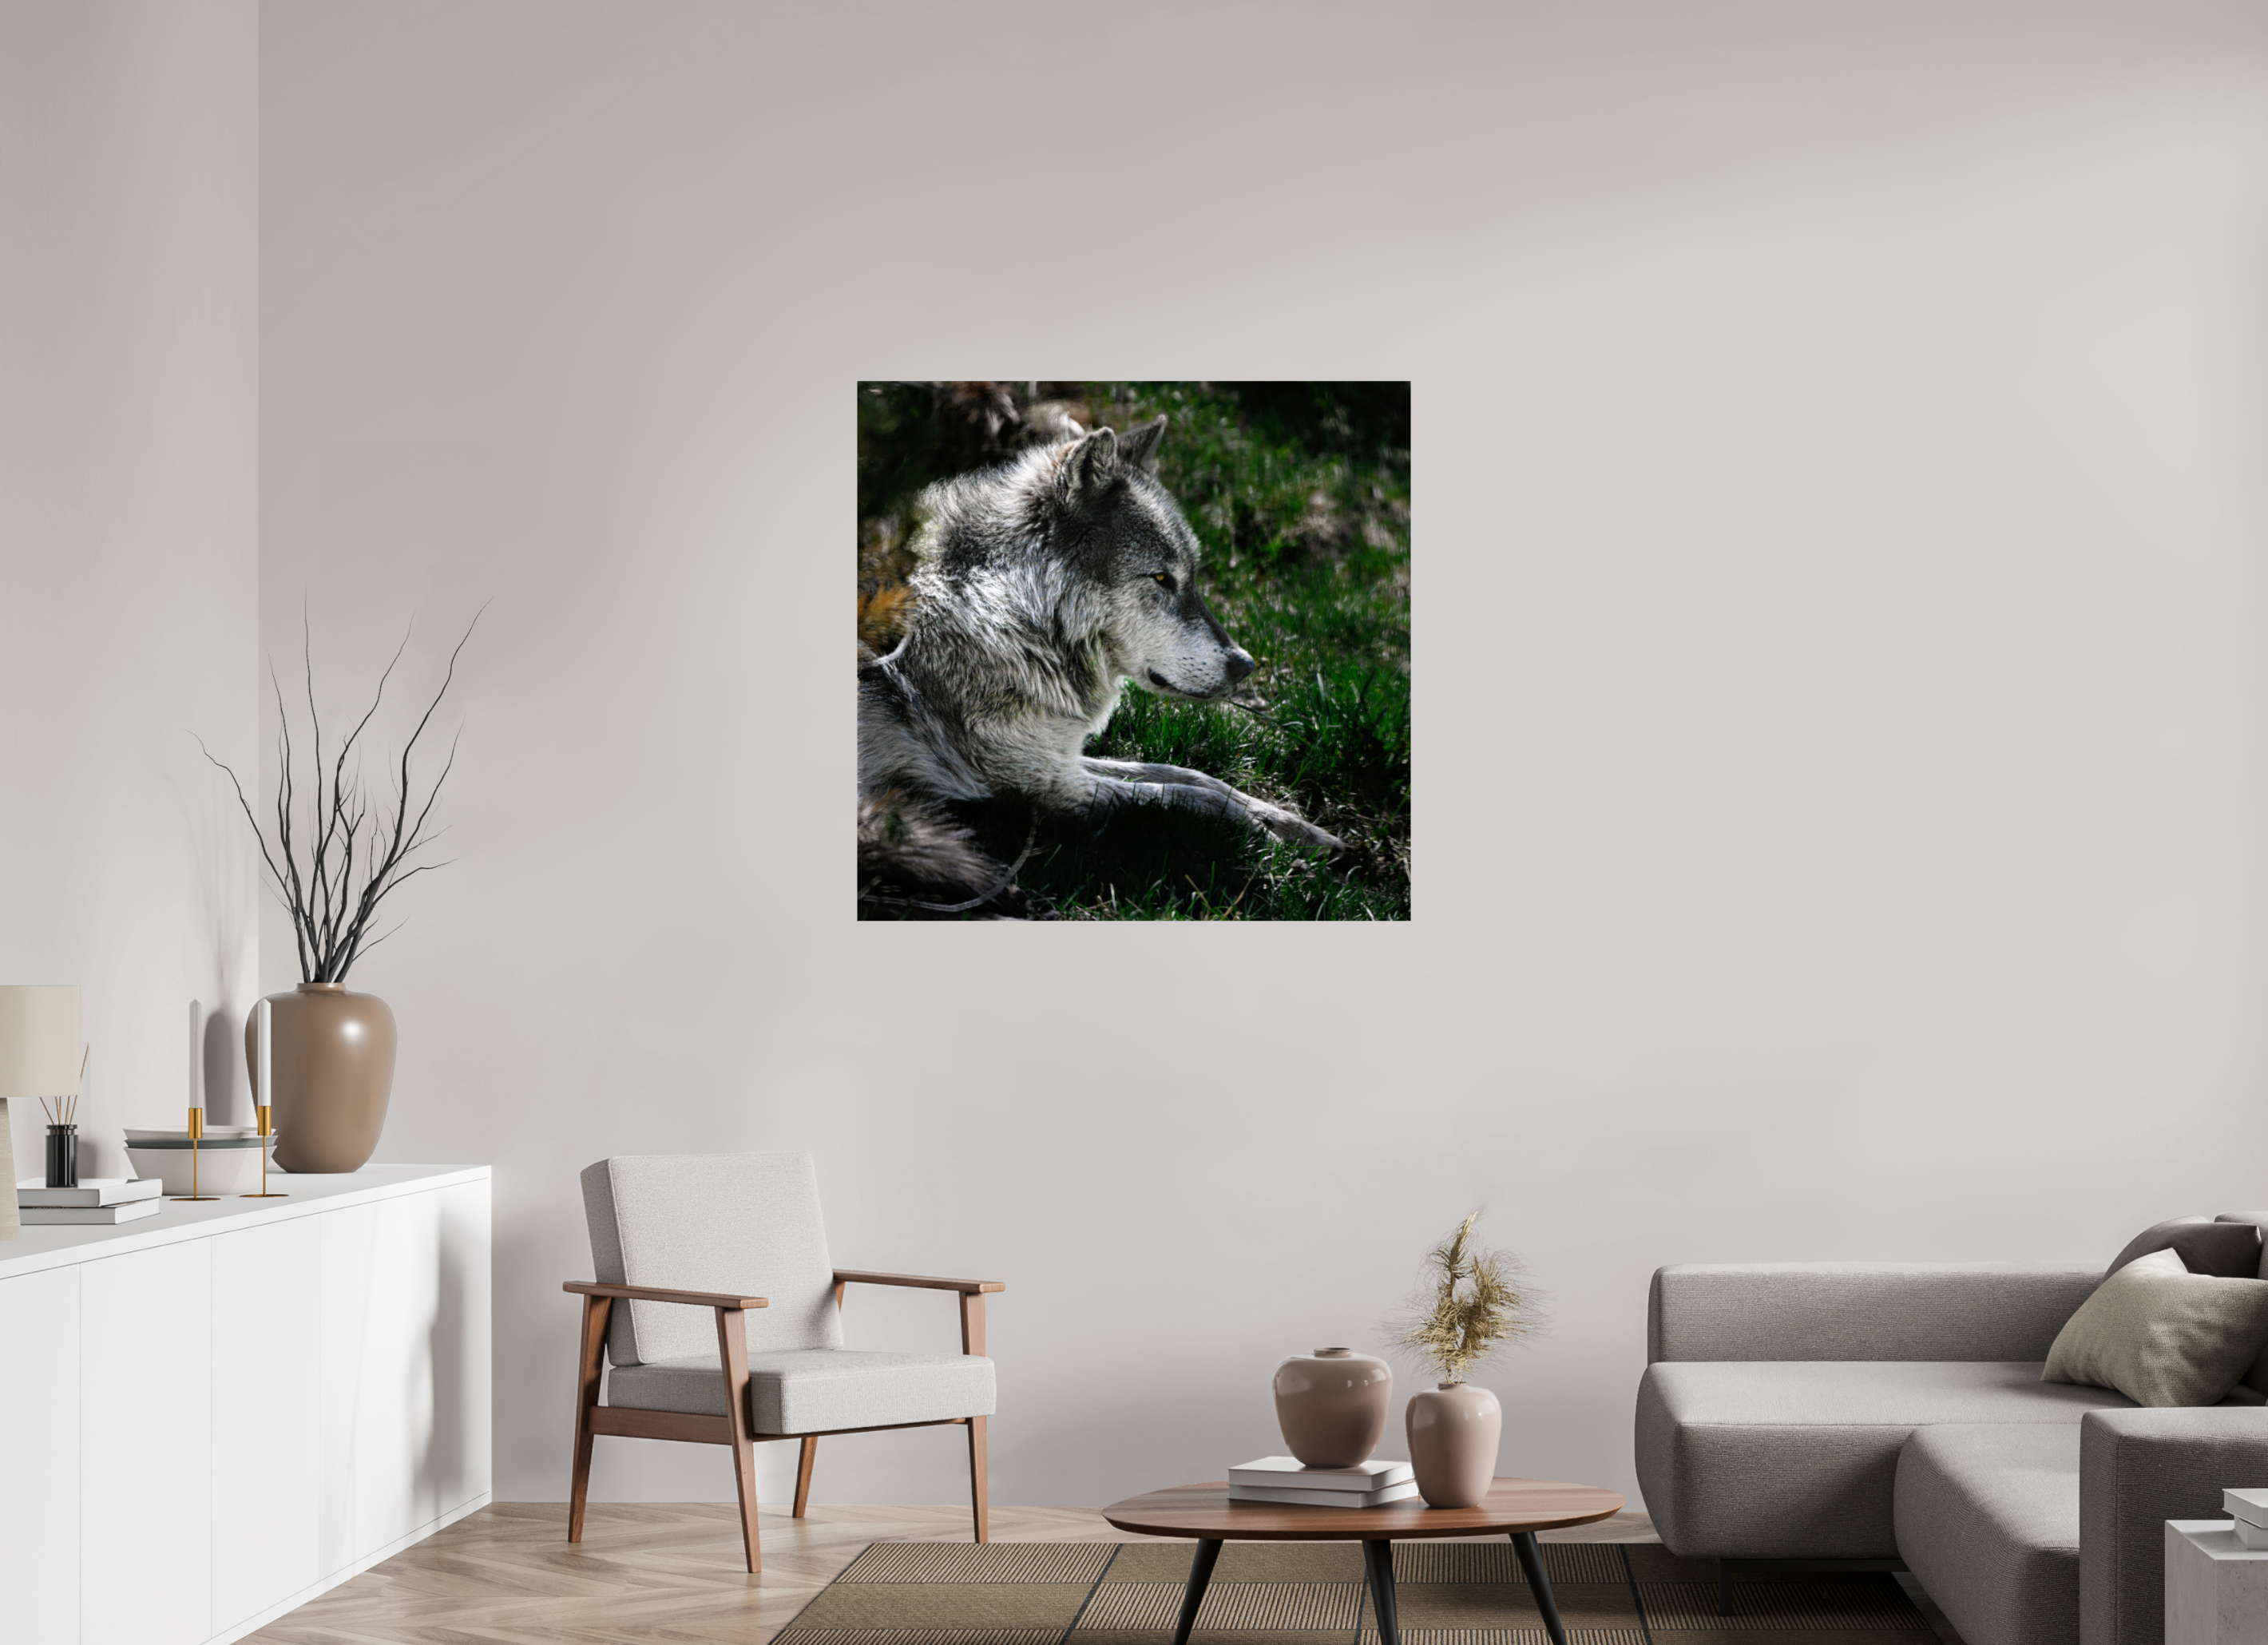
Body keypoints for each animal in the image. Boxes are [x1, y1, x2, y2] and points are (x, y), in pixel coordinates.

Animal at [858, 416, 1344, 882]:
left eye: (1191, 577)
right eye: (1161, 578)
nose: (1245, 665)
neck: (1002, 609)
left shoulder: (1060, 758)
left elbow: (1192, 776)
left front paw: (1300, 829)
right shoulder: (1042, 785)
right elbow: (1187, 797)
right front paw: (1265, 839)